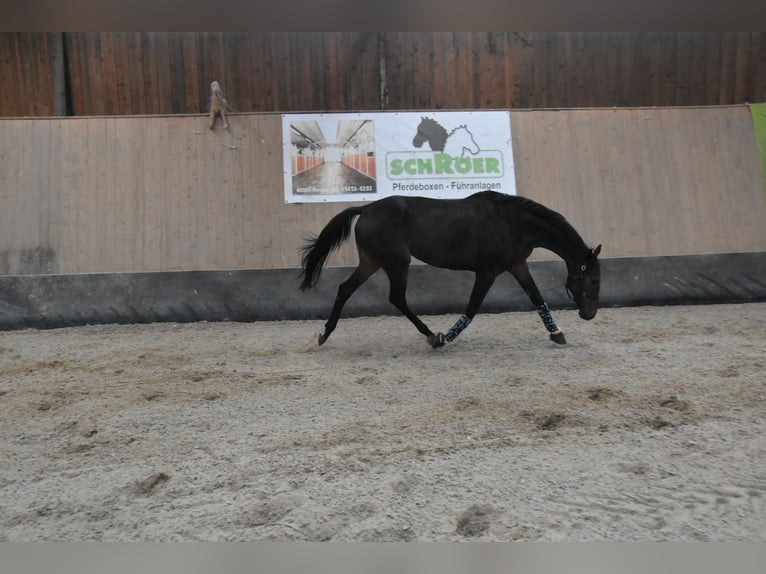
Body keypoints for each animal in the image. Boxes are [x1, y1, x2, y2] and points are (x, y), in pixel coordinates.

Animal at [299, 190, 601, 348]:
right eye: (593, 280)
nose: (590, 314)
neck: (513, 223)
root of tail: (366, 208)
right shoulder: (488, 271)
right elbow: (472, 307)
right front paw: (447, 337)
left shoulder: (517, 265)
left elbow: (537, 298)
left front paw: (557, 333)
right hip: (397, 263)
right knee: (396, 298)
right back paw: (433, 336)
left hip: (372, 262)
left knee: (345, 289)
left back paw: (323, 335)